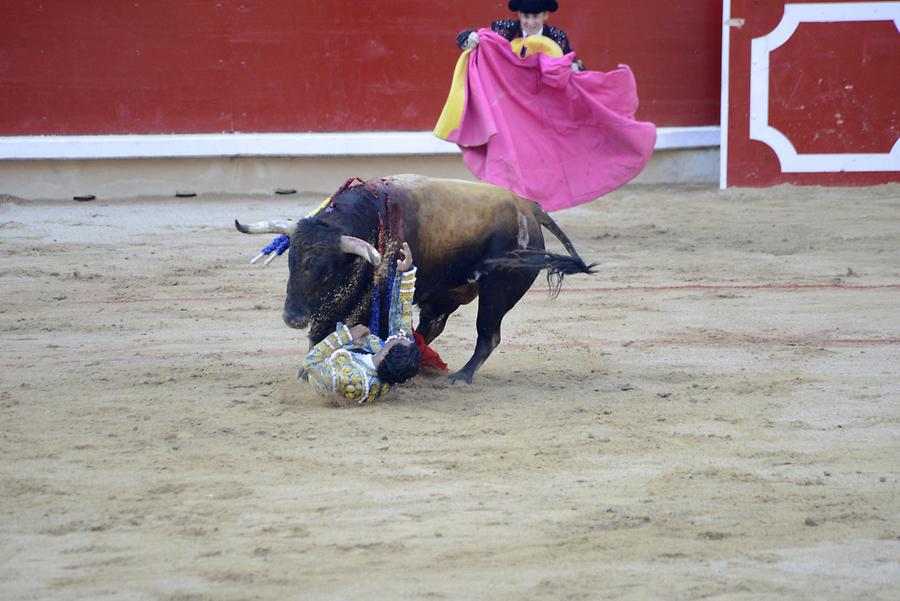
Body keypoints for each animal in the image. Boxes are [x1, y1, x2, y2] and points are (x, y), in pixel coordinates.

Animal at [236, 173, 596, 384]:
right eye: (291, 262)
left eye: (326, 272)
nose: (292, 317)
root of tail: (527, 206)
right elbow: (324, 331)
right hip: (447, 292)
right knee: (431, 328)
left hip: (498, 290)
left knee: (488, 335)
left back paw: (462, 377)